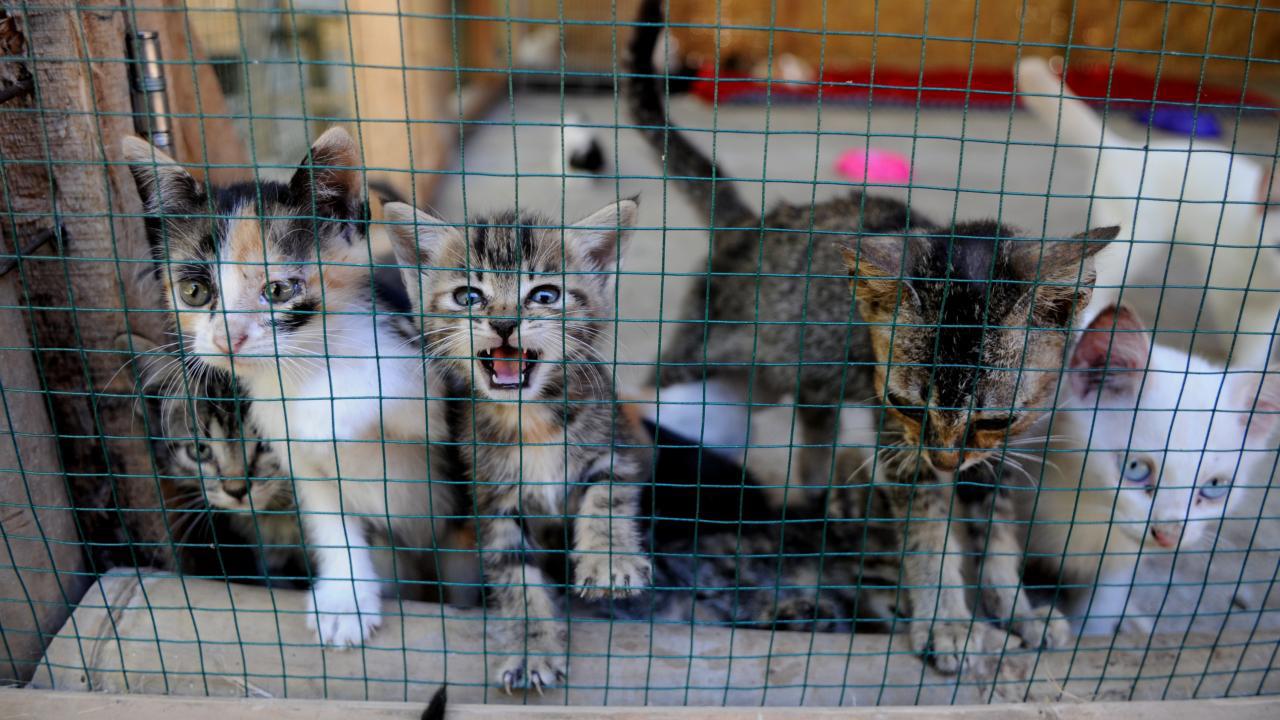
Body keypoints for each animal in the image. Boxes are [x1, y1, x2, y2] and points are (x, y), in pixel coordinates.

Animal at [123, 127, 460, 645]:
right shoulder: (298, 454)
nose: (228, 338)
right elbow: (330, 522)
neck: (312, 375)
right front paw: (345, 600)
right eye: (195, 292)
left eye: (279, 290)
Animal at [384, 197, 650, 691]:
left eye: (544, 296)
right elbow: (516, 578)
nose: (504, 323)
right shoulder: (493, 500)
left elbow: (608, 494)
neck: (528, 420)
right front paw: (531, 649)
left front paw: (610, 560)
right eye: (468, 297)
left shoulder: (615, 441)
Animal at [624, 1, 1116, 671]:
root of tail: (754, 226)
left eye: (993, 419)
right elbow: (930, 540)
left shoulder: (997, 455)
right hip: (701, 354)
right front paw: (946, 622)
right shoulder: (900, 448)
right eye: (908, 405)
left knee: (815, 424)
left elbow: (998, 540)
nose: (944, 460)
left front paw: (1017, 610)